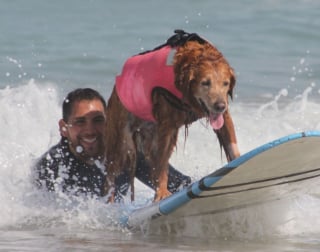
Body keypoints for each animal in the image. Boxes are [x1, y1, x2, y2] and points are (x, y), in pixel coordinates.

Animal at [105, 30, 240, 203]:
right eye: (205, 83)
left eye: (225, 83)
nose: (220, 106)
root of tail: (114, 90)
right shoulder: (167, 126)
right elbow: (162, 164)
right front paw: (162, 193)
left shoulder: (224, 117)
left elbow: (232, 145)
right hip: (120, 140)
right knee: (113, 173)